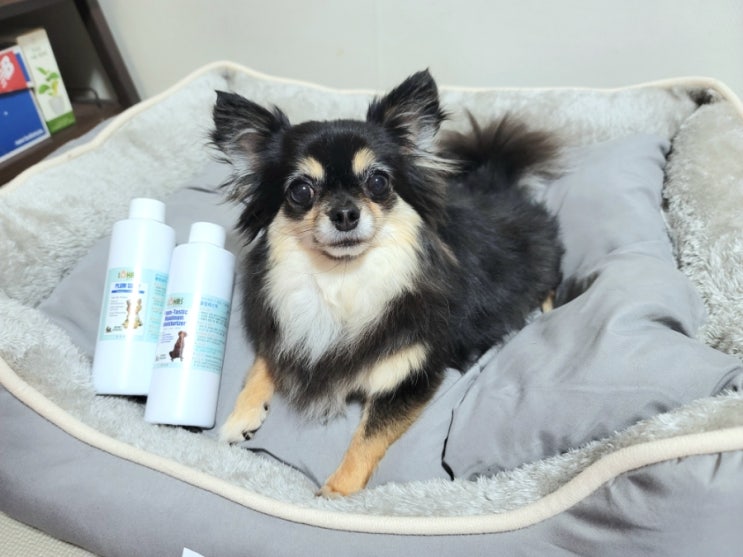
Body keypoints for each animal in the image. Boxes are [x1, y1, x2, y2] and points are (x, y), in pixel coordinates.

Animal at [211, 70, 563, 497]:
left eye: (378, 182)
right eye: (301, 190)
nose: (345, 213)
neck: (342, 280)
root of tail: (495, 180)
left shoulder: (409, 377)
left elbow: (367, 439)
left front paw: (335, 494)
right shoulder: (288, 332)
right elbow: (264, 362)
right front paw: (240, 415)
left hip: (541, 261)